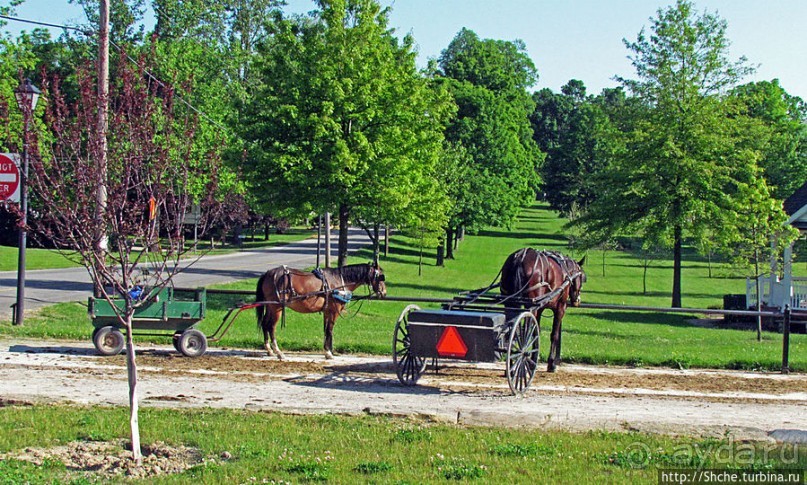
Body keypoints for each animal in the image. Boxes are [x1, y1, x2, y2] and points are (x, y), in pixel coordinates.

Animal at [258, 260, 386, 360]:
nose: (384, 293)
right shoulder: (334, 311)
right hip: (276, 308)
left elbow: (325, 330)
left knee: (265, 324)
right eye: (381, 277)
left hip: (270, 306)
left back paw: (269, 350)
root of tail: (268, 273)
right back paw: (278, 352)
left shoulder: (327, 311)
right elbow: (329, 330)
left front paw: (326, 350)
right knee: (271, 327)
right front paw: (329, 353)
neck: (339, 281)